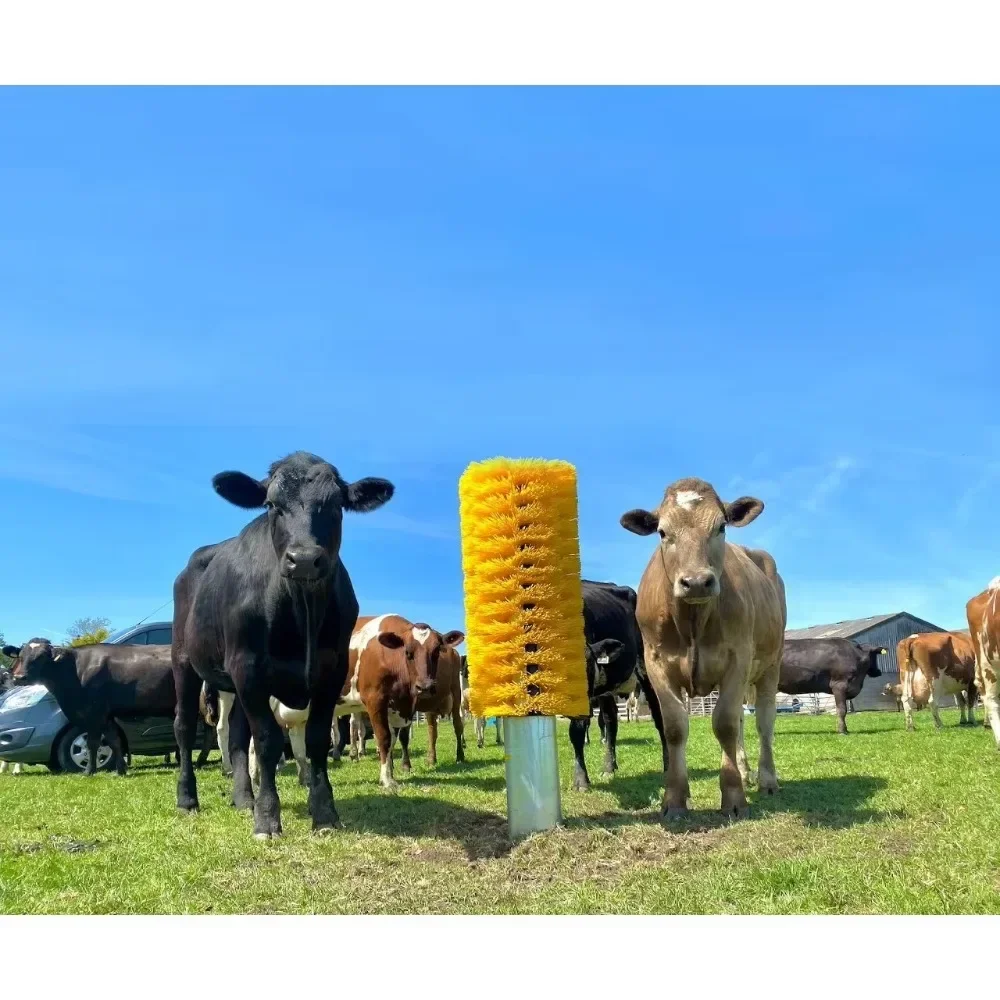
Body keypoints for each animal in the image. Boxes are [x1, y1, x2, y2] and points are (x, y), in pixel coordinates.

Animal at [1, 638, 176, 775]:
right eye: (21, 656)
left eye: (41, 657)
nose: (20, 677)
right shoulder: (105, 715)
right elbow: (113, 740)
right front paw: (120, 770)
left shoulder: (94, 712)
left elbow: (92, 743)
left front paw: (89, 771)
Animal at [170, 451, 394, 839]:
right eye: (272, 505)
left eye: (336, 505)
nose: (303, 559)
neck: (301, 613)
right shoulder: (248, 667)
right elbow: (268, 740)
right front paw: (267, 818)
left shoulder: (331, 669)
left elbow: (317, 738)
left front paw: (324, 812)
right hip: (184, 659)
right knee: (184, 727)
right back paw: (188, 799)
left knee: (236, 736)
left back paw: (243, 798)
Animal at [340, 615, 462, 789]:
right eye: (408, 652)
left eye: (436, 651)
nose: (425, 687)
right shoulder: (377, 701)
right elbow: (386, 738)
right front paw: (388, 774)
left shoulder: (406, 705)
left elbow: (396, 738)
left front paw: (395, 771)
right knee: (433, 730)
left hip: (456, 692)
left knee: (457, 726)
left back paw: (460, 756)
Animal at [568, 579, 668, 791]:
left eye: (587, 666)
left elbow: (577, 732)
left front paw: (580, 780)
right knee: (610, 721)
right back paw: (609, 766)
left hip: (647, 672)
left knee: (660, 718)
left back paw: (668, 765)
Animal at [620, 478, 786, 819]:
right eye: (662, 532)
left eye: (721, 527)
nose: (696, 581)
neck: (692, 623)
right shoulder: (656, 664)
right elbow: (674, 728)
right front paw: (674, 799)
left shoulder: (738, 659)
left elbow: (724, 724)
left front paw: (734, 798)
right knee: (743, 720)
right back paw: (746, 772)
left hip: (770, 665)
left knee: (763, 722)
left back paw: (766, 780)